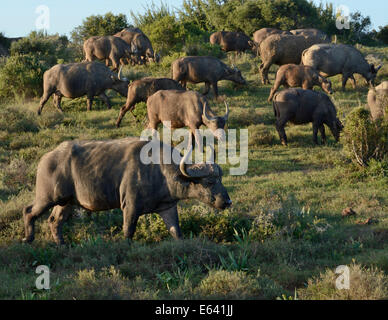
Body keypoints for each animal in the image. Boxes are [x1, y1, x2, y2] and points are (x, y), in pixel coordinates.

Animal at [22, 136, 230, 244]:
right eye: (209, 182)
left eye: (220, 179)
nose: (227, 201)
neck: (159, 170)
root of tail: (47, 158)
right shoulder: (130, 207)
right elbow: (128, 231)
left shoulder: (167, 207)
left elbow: (176, 231)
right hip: (47, 197)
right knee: (29, 211)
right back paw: (28, 238)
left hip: (66, 202)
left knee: (54, 221)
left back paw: (62, 244)